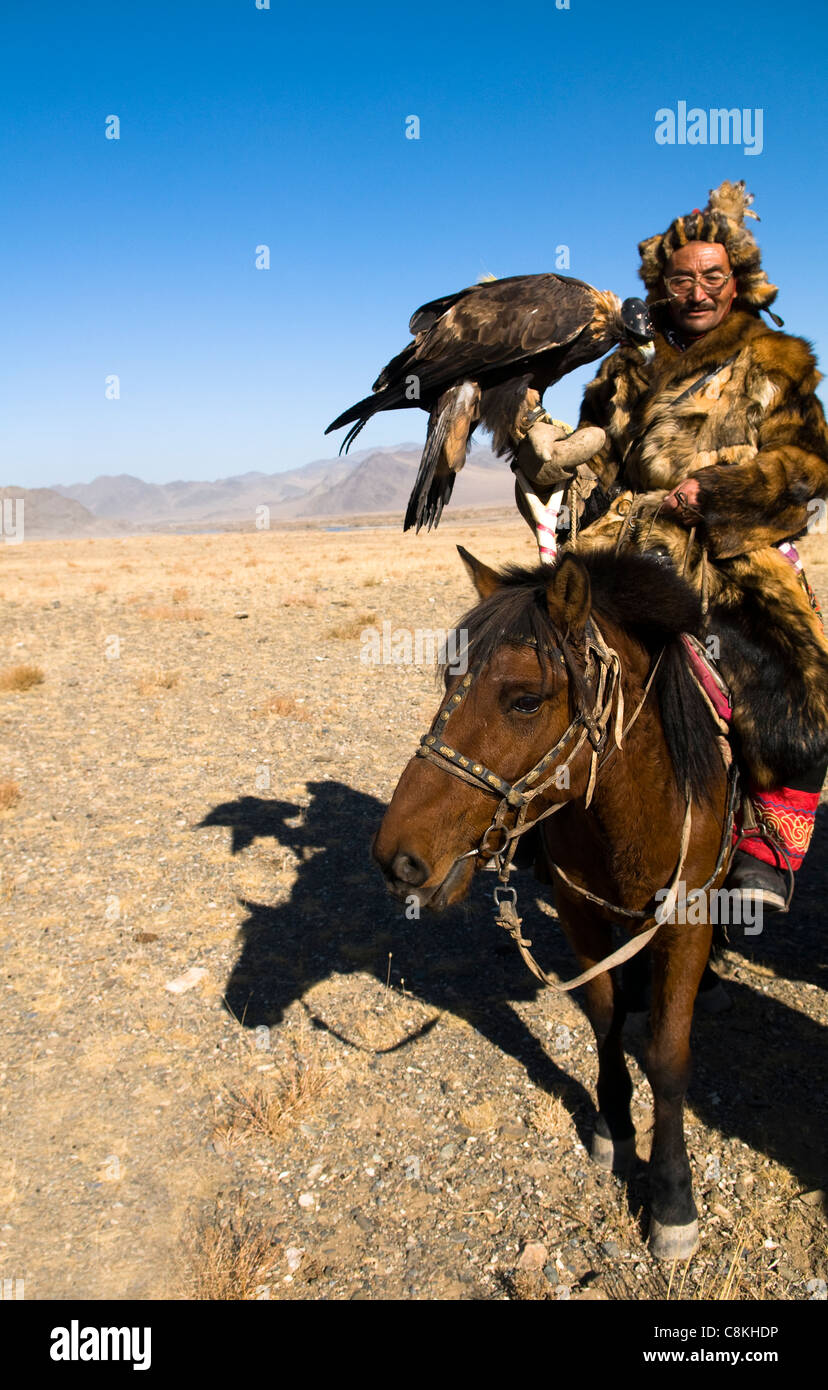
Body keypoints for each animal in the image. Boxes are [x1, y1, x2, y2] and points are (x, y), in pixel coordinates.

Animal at [372, 542, 733, 1262]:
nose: (397, 861)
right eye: (447, 678)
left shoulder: (687, 920)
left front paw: (673, 1199)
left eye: (525, 700)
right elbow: (605, 1018)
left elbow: (669, 1054)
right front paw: (613, 1128)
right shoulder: (578, 912)